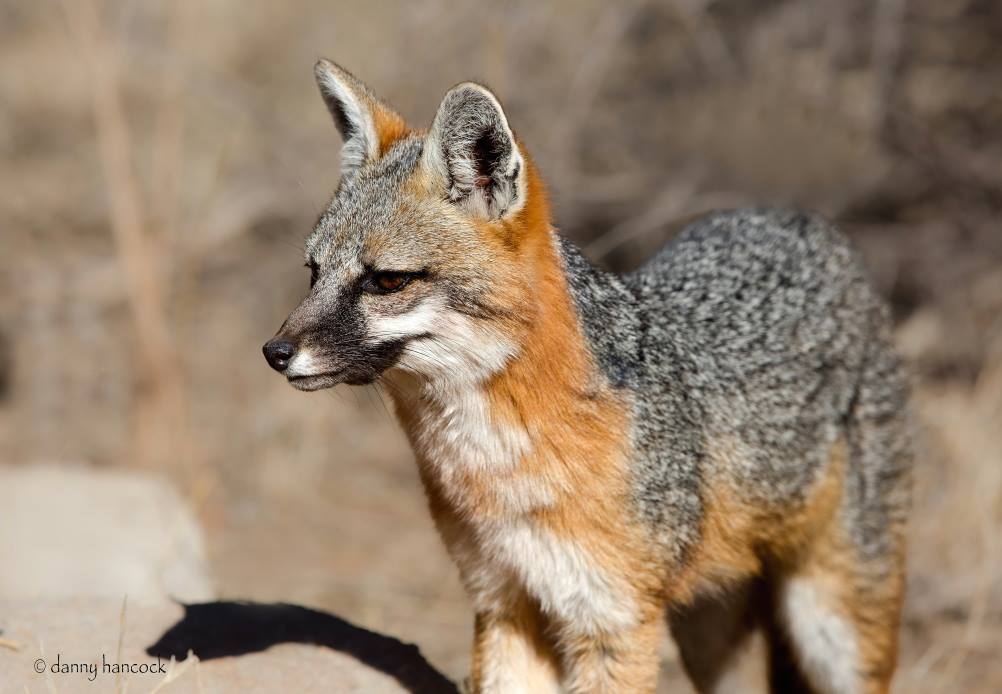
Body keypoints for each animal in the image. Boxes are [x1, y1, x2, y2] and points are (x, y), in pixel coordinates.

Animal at [263, 59, 912, 694]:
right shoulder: (504, 602)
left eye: (387, 281)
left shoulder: (613, 619)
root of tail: (802, 222)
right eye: (314, 273)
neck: (502, 466)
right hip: (709, 632)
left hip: (831, 625)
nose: (275, 352)